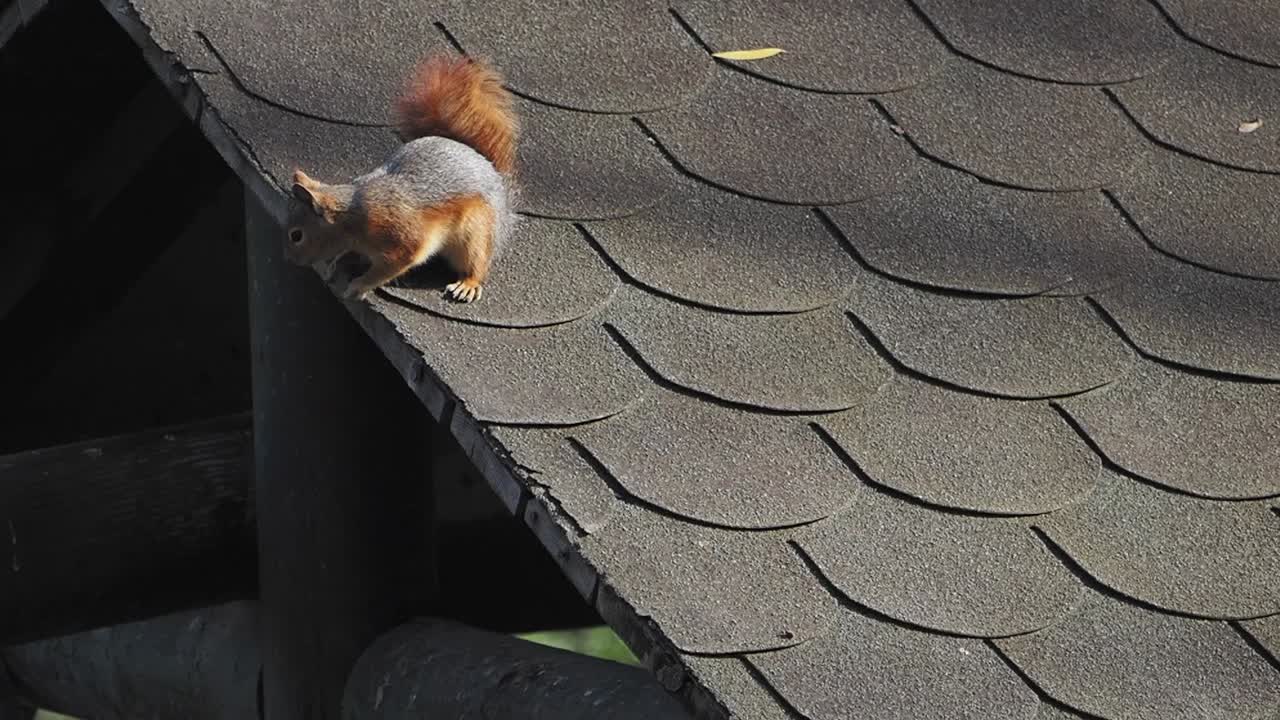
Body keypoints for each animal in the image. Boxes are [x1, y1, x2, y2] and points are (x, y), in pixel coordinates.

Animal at [284, 54, 518, 303]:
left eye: (296, 235)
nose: (289, 259)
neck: (353, 217)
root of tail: (494, 175)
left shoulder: (401, 239)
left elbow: (390, 266)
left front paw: (358, 285)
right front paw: (336, 264)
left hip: (476, 233)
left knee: (478, 263)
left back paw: (468, 284)